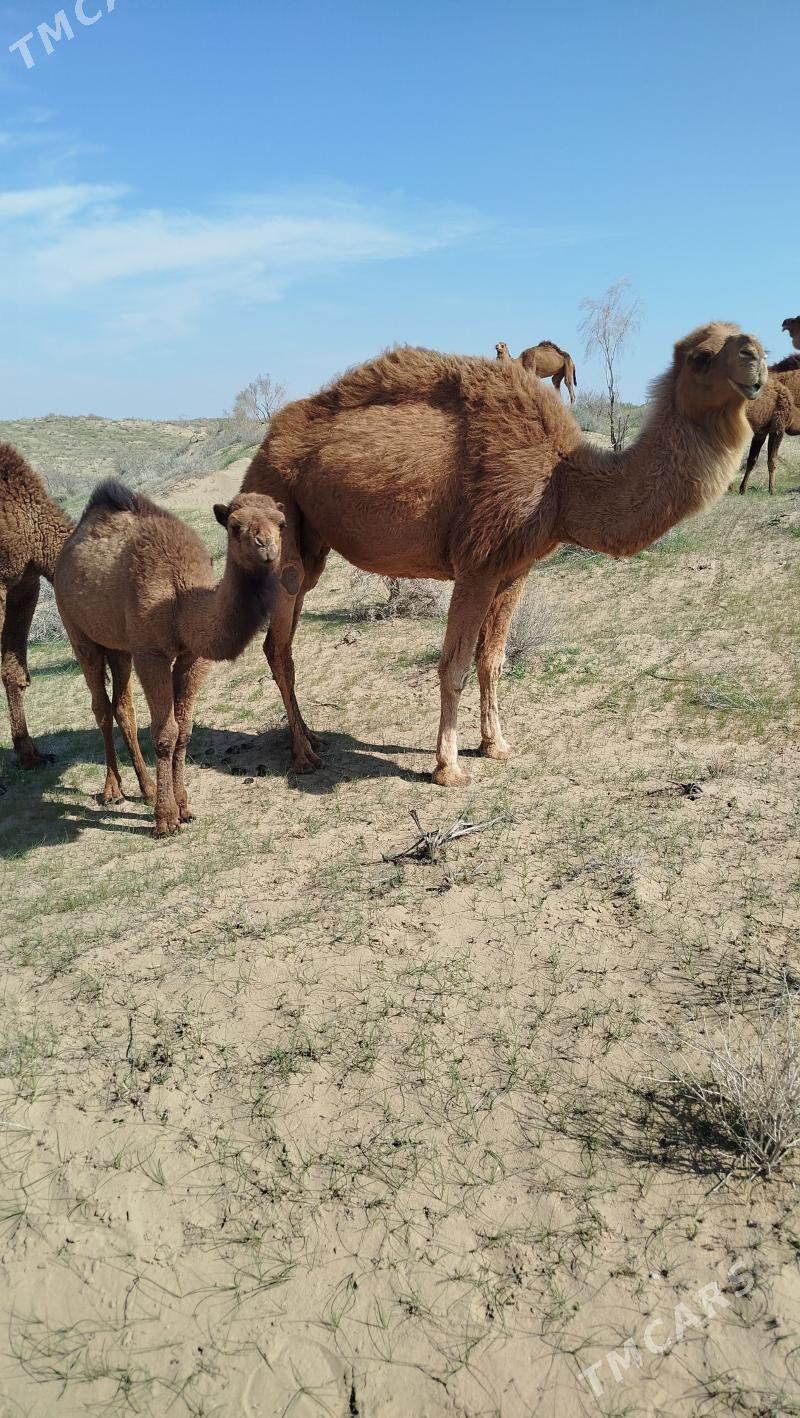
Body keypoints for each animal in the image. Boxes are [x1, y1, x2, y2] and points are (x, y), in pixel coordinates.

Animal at [55, 481, 298, 836]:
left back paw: (146, 789)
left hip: (120, 646)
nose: (266, 546)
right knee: (100, 705)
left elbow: (184, 730)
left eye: (281, 523)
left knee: (122, 706)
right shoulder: (151, 653)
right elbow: (165, 733)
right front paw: (166, 819)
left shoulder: (192, 656)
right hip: (77, 630)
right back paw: (112, 790)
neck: (181, 601)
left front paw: (184, 808)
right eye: (234, 527)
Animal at [241, 322, 765, 787]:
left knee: (282, 639)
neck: (562, 479)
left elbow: (491, 660)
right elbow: (453, 666)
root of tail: (266, 443)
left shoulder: (514, 568)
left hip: (314, 546)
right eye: (702, 357)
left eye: (750, 341)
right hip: (278, 510)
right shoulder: (476, 562)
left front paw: (496, 745)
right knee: (278, 645)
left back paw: (311, 737)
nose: (755, 357)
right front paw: (448, 768)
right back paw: (304, 755)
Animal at [740, 363, 800, 493]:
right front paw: (772, 489)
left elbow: (752, 460)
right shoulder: (778, 428)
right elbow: (772, 460)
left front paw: (742, 489)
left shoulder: (761, 431)